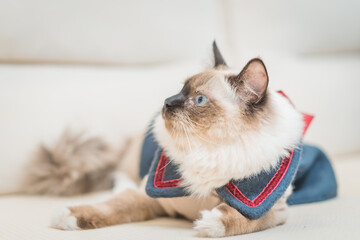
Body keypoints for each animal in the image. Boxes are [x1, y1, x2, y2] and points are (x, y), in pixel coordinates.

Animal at [50, 42, 304, 237]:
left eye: (199, 100)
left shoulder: (273, 209)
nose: (167, 102)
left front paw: (210, 223)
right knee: (119, 177)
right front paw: (67, 217)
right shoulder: (149, 197)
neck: (209, 149)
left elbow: (243, 216)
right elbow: (113, 207)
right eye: (181, 89)